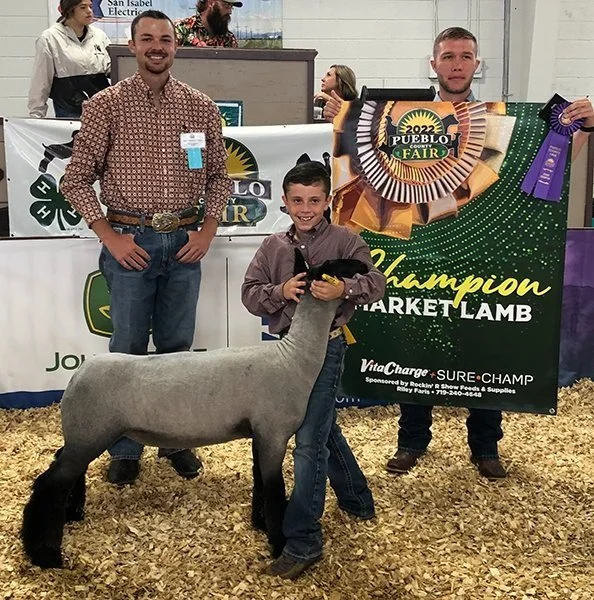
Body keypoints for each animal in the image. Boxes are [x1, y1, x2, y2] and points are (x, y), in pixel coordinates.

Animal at [21, 252, 369, 569]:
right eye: (338, 264)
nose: (364, 266)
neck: (293, 357)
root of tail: (75, 376)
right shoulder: (274, 432)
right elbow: (273, 487)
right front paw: (278, 542)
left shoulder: (260, 434)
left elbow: (259, 479)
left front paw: (259, 524)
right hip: (92, 432)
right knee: (50, 484)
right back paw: (45, 554)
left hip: (83, 433)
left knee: (63, 467)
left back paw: (73, 513)